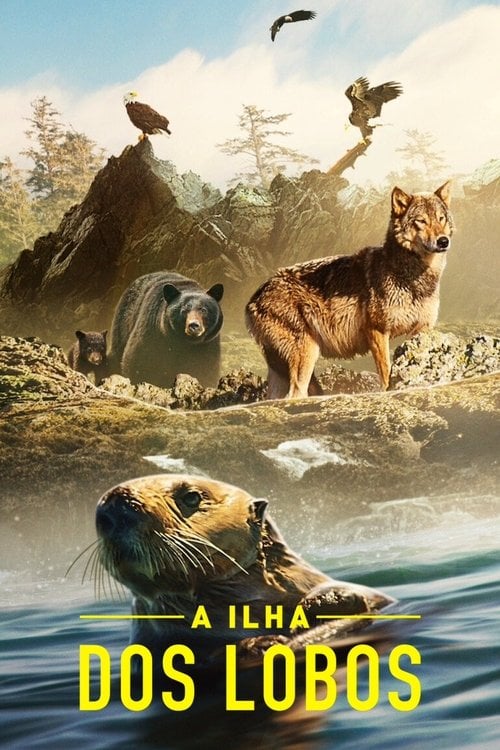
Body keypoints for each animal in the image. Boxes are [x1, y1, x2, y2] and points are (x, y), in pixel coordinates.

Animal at [246, 182, 453, 399]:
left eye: (441, 218)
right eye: (421, 221)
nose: (443, 241)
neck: (411, 275)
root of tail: (253, 299)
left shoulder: (421, 331)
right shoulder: (377, 331)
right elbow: (386, 373)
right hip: (307, 354)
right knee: (296, 394)